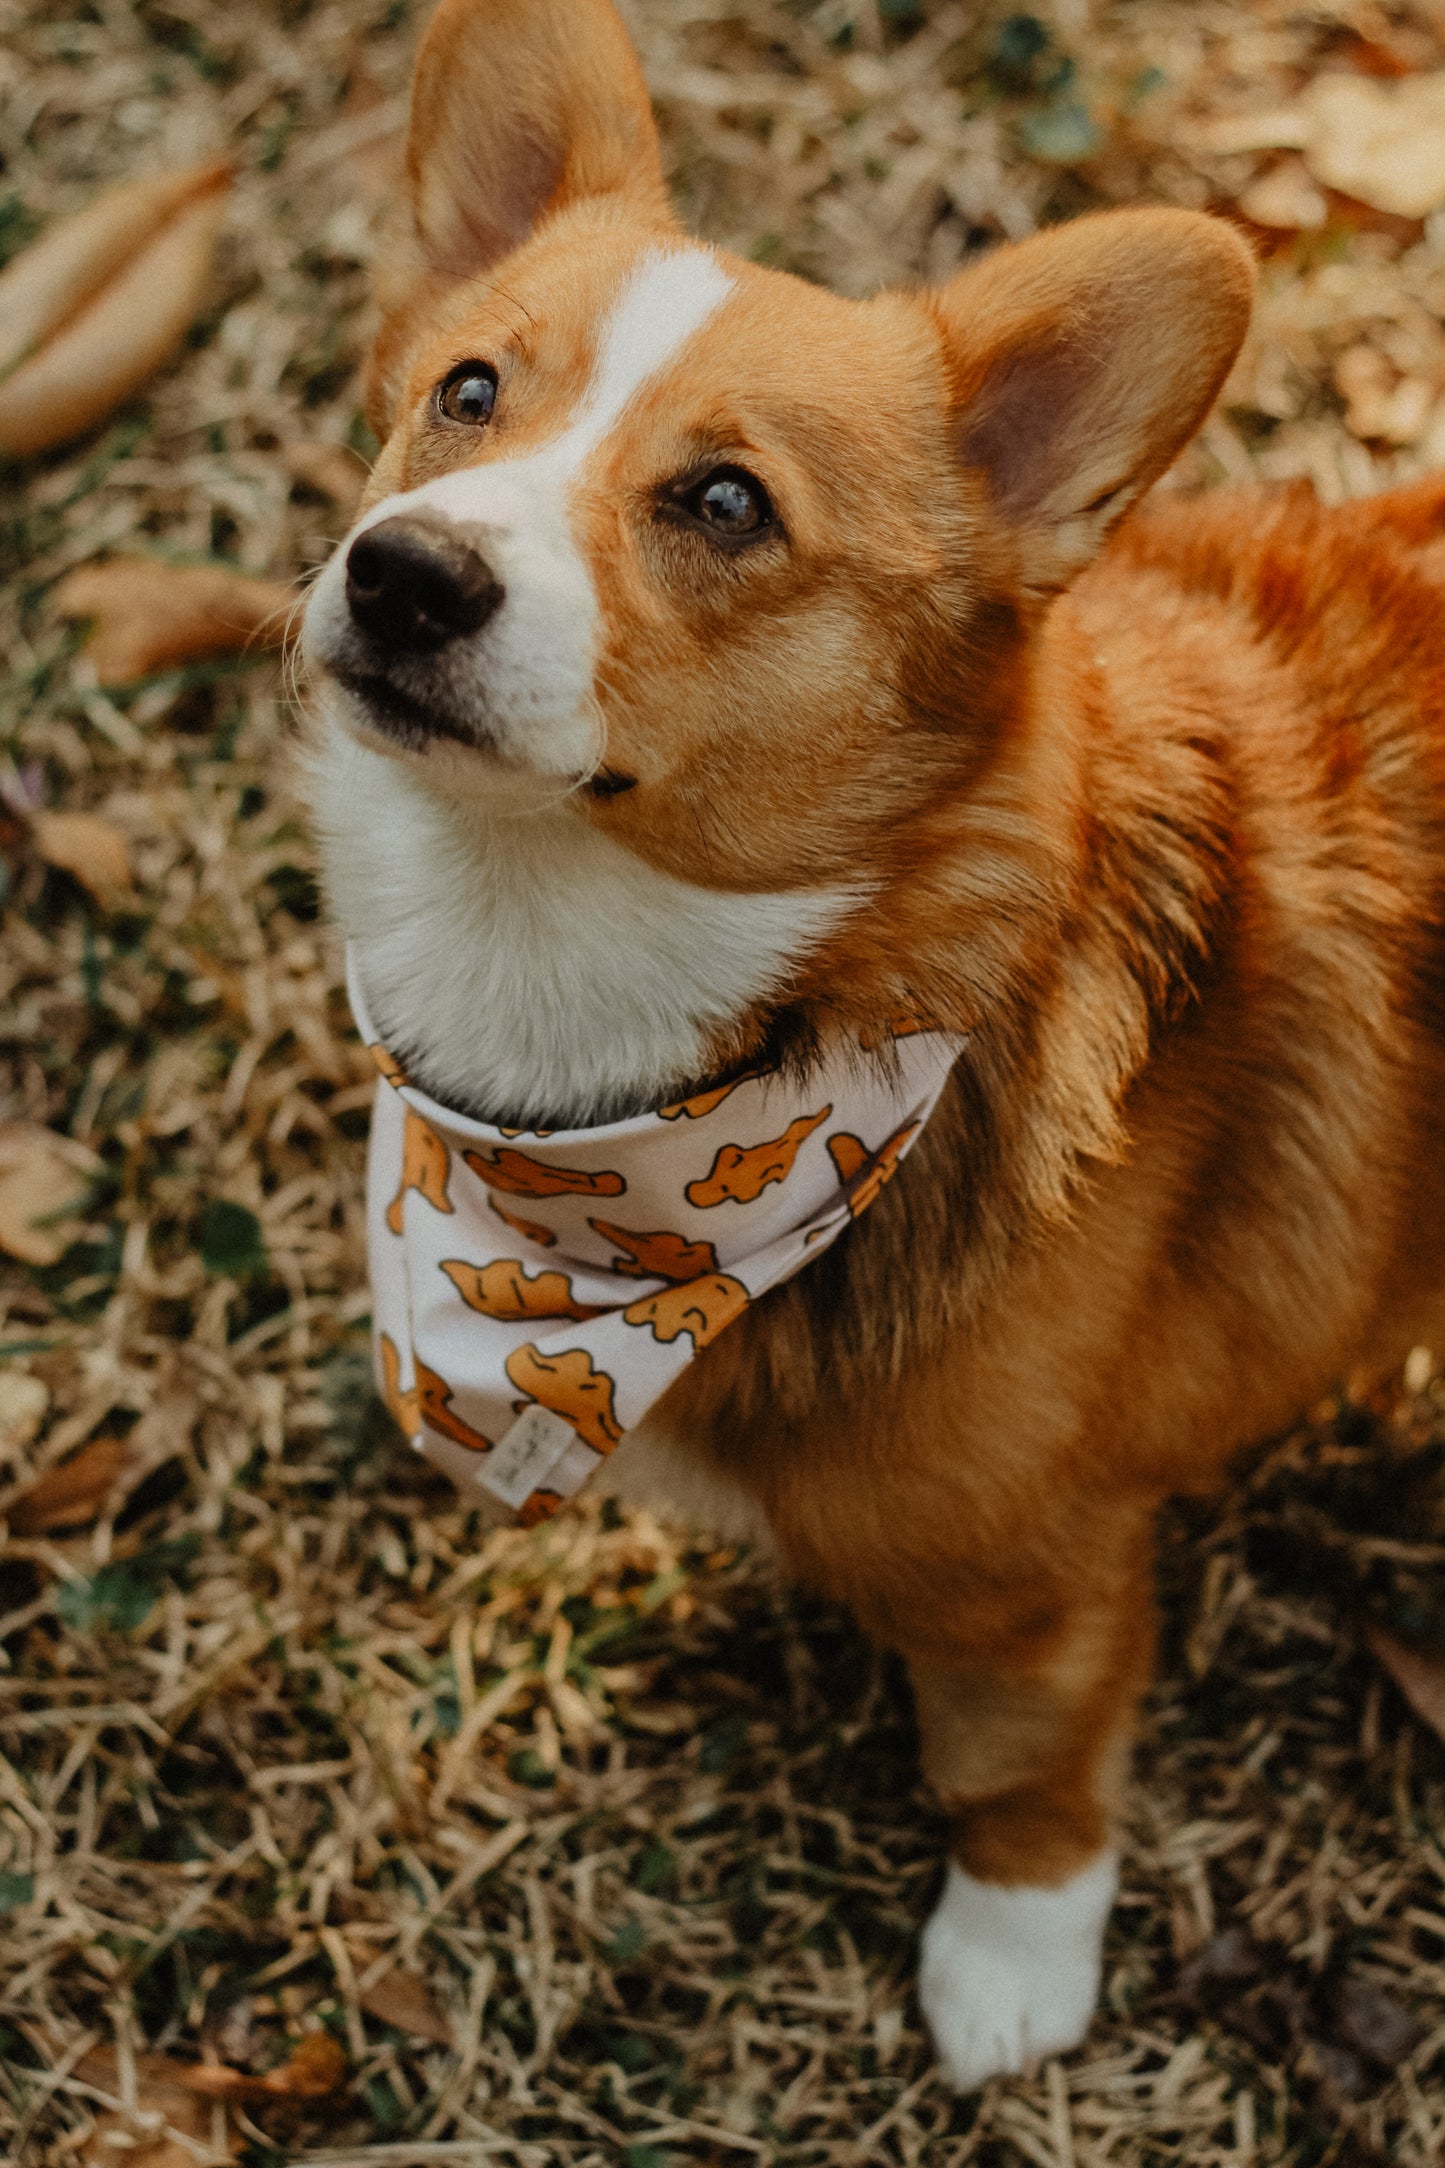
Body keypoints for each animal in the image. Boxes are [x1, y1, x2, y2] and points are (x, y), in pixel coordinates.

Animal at [298, 0, 1445, 2089]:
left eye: (725, 502)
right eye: (466, 391)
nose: (403, 573)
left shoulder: (1033, 1579)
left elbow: (1020, 1763)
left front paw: (1012, 1960)